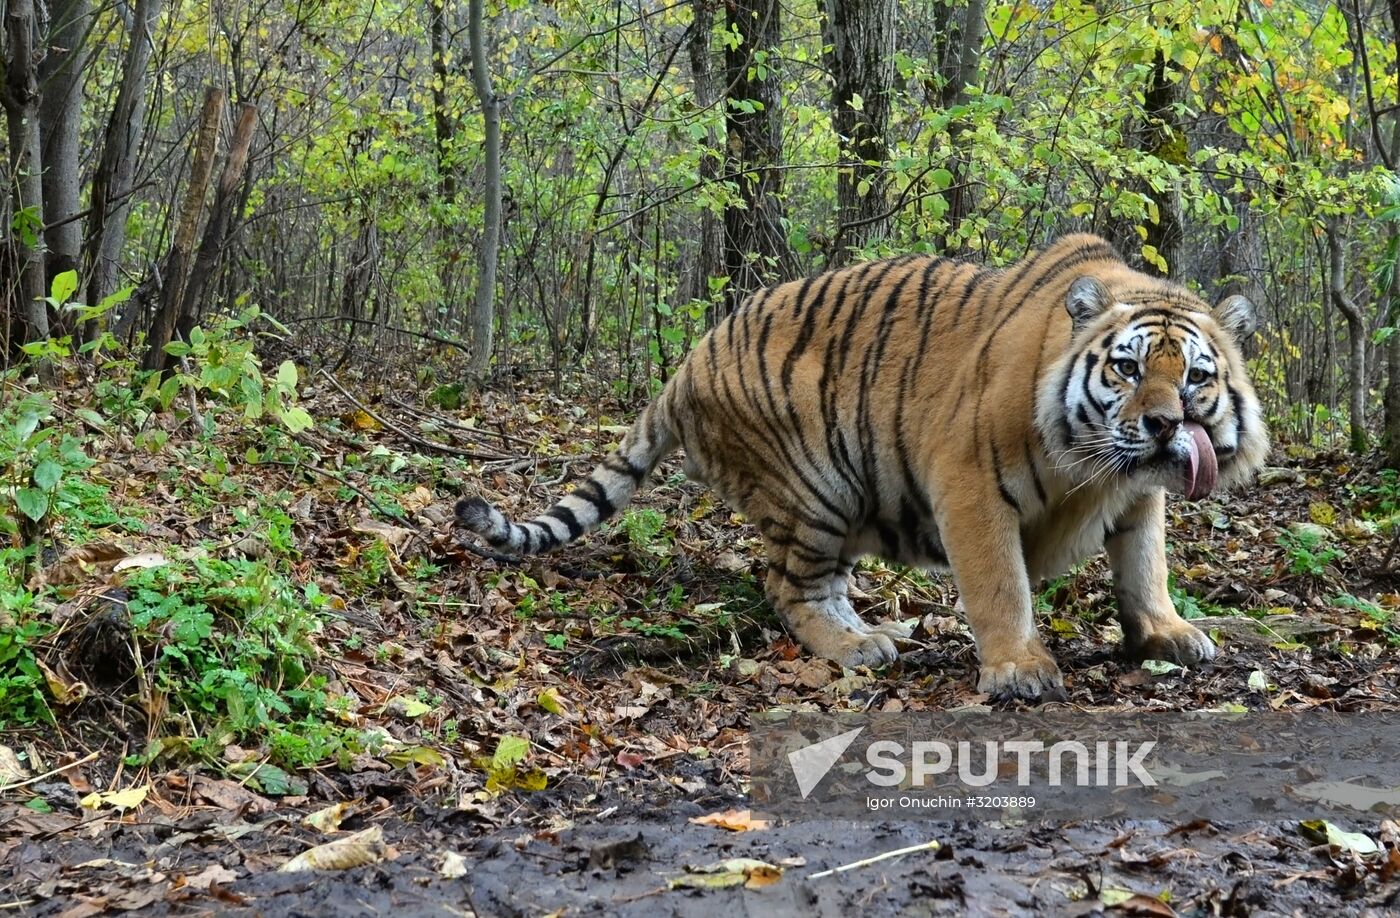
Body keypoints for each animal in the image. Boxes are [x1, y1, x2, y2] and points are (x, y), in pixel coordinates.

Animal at [456, 233, 1271, 699]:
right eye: (1127, 369)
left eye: (1195, 377)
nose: (1164, 426)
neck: (1098, 469)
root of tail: (687, 362)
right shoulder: (970, 482)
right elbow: (1001, 585)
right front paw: (1019, 669)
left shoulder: (1137, 498)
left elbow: (1145, 565)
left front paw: (1167, 634)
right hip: (816, 485)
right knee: (789, 586)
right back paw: (854, 647)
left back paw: (881, 635)